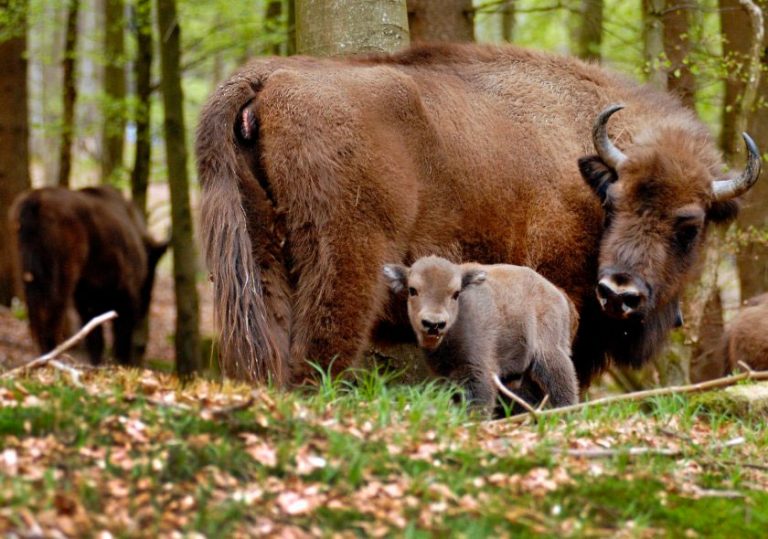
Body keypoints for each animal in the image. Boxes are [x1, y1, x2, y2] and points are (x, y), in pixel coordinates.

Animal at [9, 187, 168, 368]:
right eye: (152, 268)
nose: (145, 306)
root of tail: (35, 201)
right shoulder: (126, 296)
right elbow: (120, 338)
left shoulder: (87, 301)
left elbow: (95, 339)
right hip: (61, 279)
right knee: (51, 317)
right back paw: (52, 358)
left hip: (30, 276)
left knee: (36, 318)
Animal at [195, 43, 760, 388]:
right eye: (614, 201)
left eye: (689, 226)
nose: (619, 292)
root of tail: (269, 76)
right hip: (345, 265)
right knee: (315, 355)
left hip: (259, 257)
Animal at [380, 255, 580, 416]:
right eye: (412, 290)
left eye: (456, 293)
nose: (433, 324)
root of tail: (558, 294)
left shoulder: (478, 371)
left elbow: (478, 404)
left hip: (550, 355)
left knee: (564, 386)